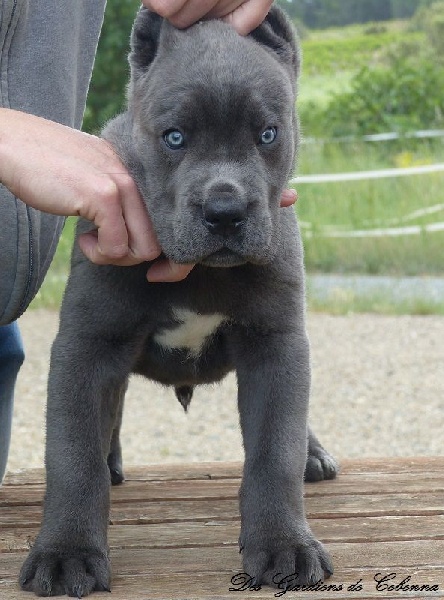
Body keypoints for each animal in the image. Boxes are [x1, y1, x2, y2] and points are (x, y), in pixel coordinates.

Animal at [19, 5, 338, 596]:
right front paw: (67, 553)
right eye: (173, 138)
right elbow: (73, 457)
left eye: (268, 134)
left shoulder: (277, 343)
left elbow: (274, 448)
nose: (225, 212)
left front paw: (284, 543)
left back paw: (312, 455)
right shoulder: (87, 344)